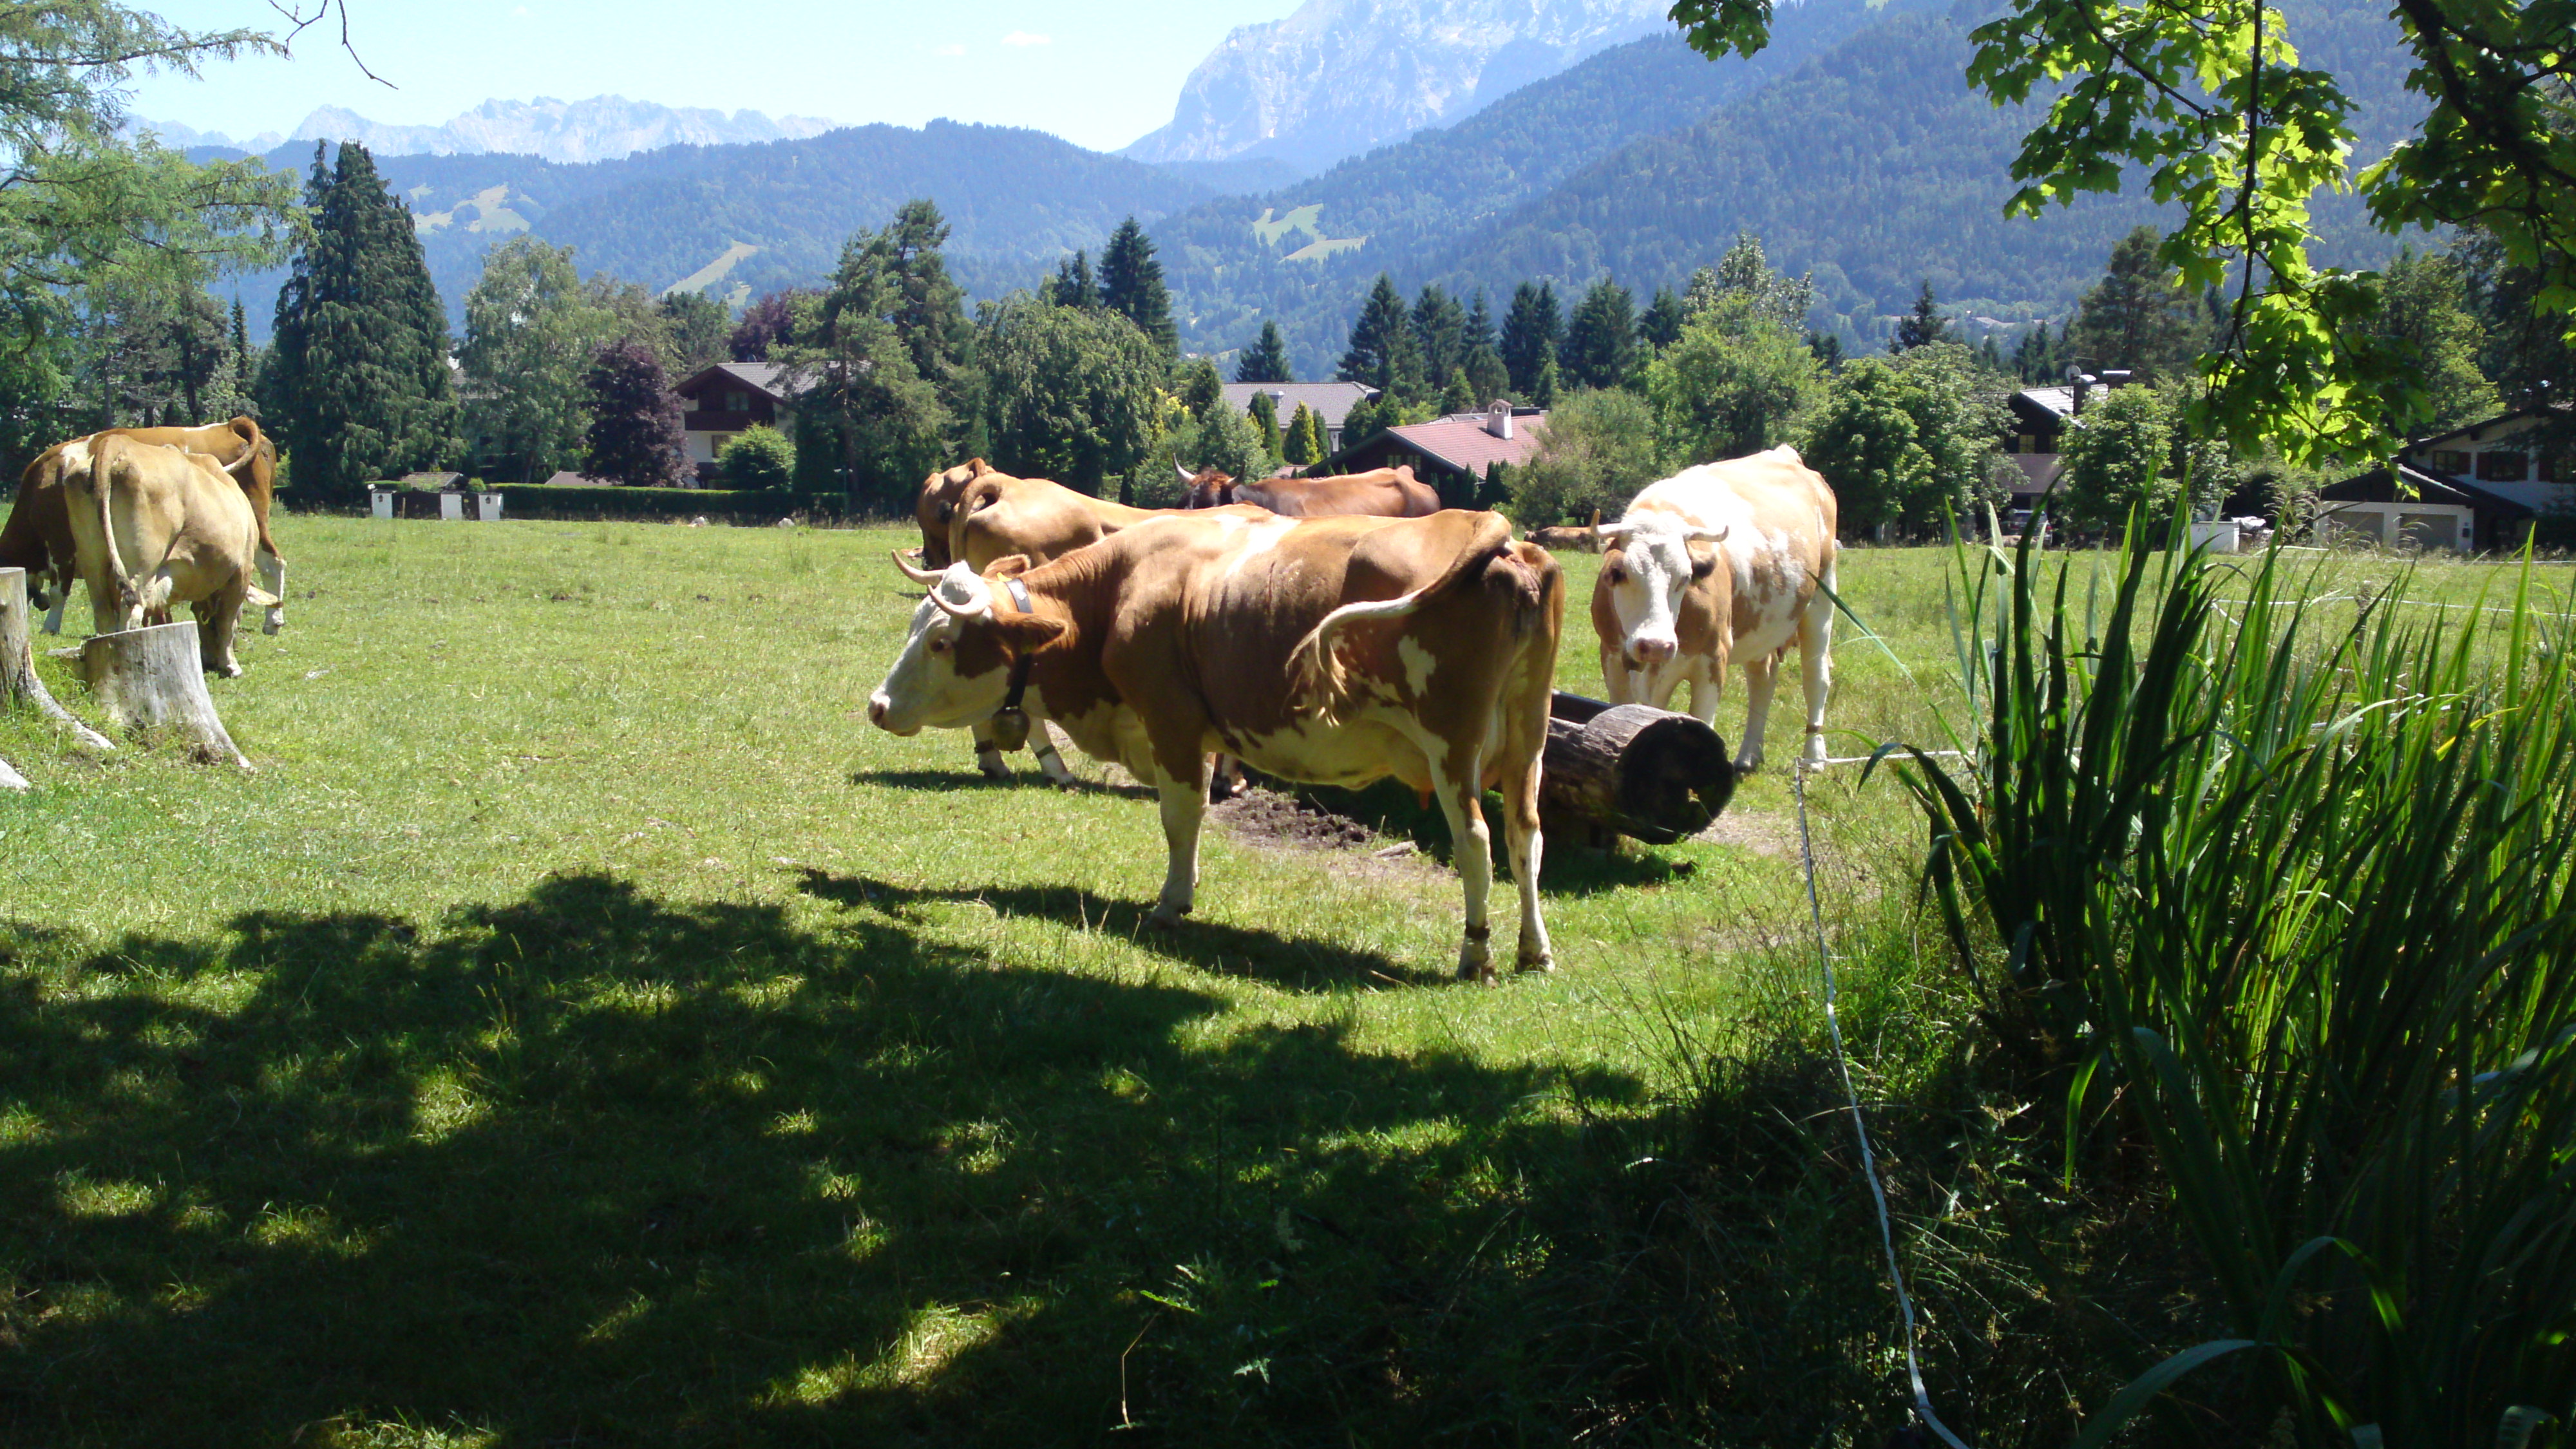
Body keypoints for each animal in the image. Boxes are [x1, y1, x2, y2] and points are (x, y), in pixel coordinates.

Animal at [64, 436, 279, 676]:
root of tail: (119, 443)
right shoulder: (242, 570)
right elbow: (227, 620)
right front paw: (230, 664)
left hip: (93, 564)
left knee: (104, 617)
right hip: (142, 568)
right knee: (131, 614)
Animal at [867, 507, 1564, 981]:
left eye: (941, 642)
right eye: (916, 626)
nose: (877, 705)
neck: (1119, 589)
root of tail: (1488, 532)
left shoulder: (1171, 721)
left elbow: (1180, 815)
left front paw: (1171, 902)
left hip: (1452, 745)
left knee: (1474, 841)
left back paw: (1476, 953)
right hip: (1529, 738)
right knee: (1525, 838)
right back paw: (1534, 950)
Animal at [1591, 447, 1838, 772]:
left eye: (1685, 577)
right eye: (1620, 574)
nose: (1655, 645)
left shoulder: (1713, 659)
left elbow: (1702, 722)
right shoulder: (1612, 658)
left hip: (1822, 597)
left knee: (1815, 677)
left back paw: (1814, 757)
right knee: (1762, 679)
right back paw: (1749, 755)